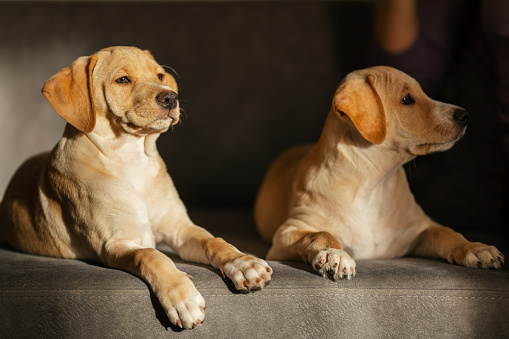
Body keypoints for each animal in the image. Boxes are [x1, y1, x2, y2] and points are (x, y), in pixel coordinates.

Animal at [0, 46, 274, 330]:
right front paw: (182, 297)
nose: (171, 98)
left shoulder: (180, 228)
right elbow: (151, 255)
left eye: (160, 75)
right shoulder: (113, 245)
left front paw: (243, 262)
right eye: (122, 80)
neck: (131, 159)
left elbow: (213, 240)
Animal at [256, 66, 502, 282]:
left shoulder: (420, 229)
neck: (375, 185)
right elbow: (319, 234)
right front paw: (335, 255)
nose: (464, 115)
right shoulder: (288, 232)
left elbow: (446, 231)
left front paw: (475, 248)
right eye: (407, 99)